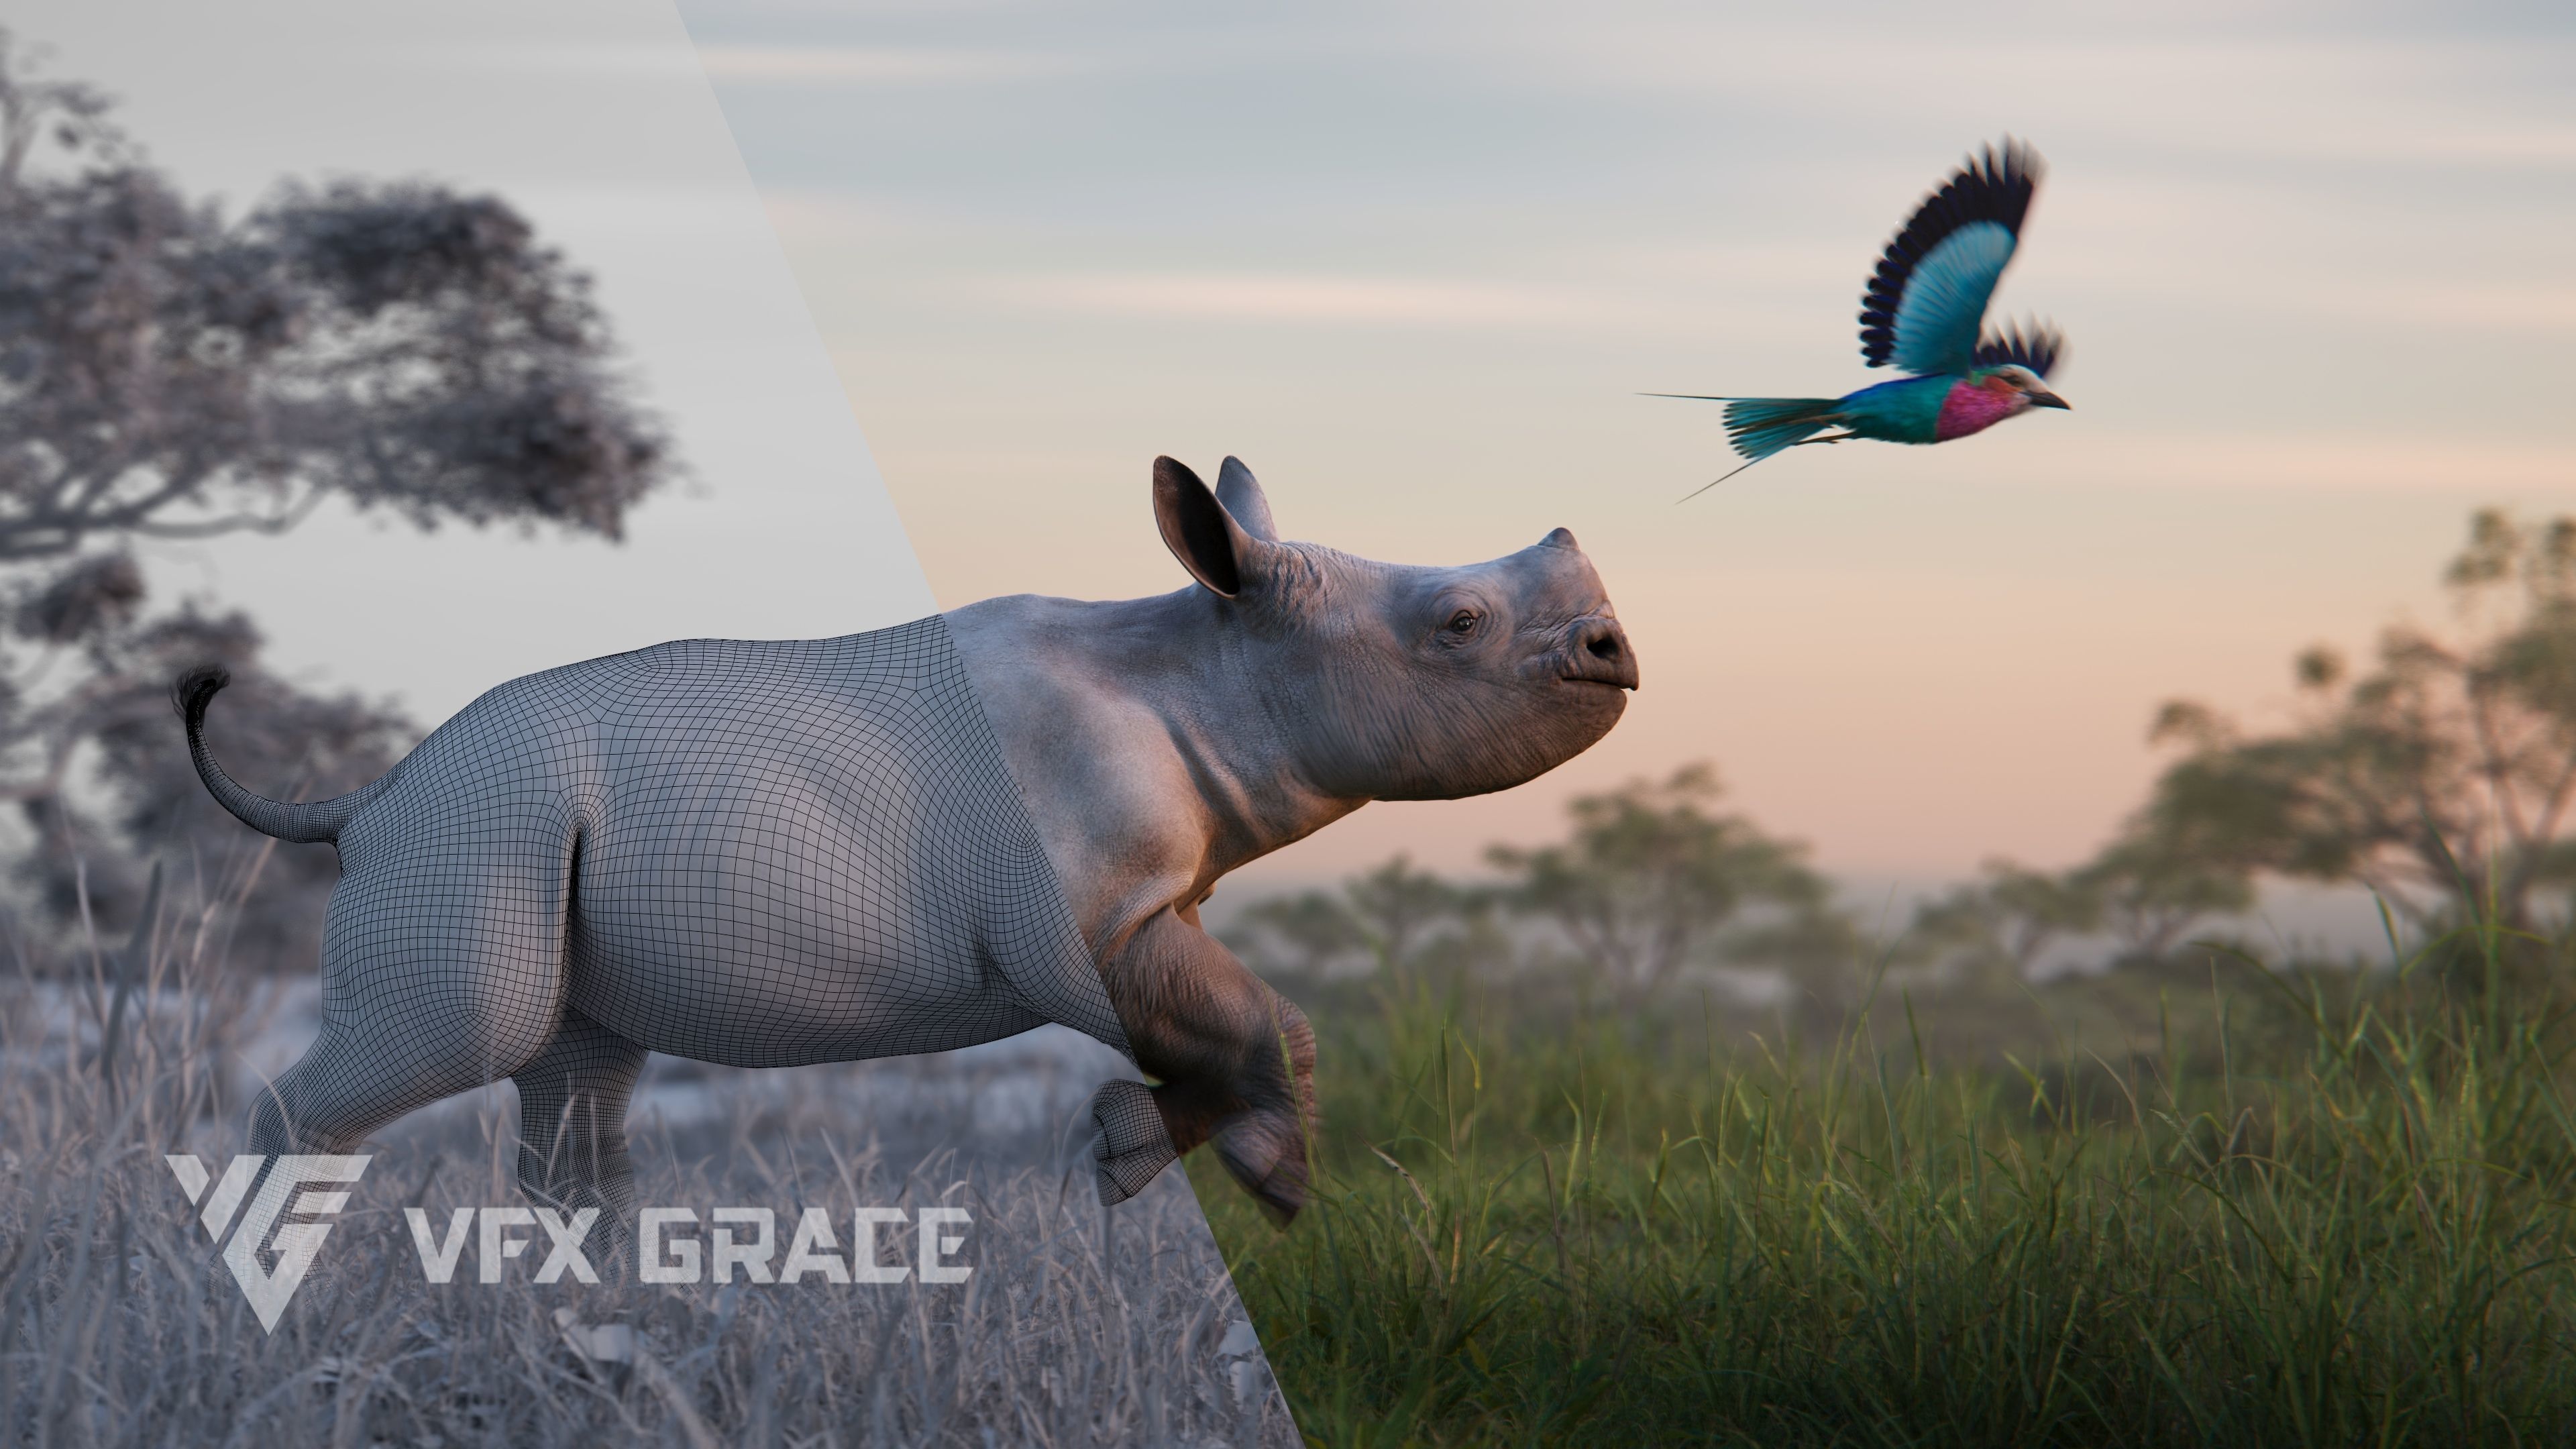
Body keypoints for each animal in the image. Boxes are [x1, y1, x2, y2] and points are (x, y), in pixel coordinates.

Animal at [182, 457, 1636, 1225]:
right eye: (1458, 625)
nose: (1616, 657)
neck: (1204, 659)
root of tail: (366, 799)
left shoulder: (1157, 901)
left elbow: (1234, 1025)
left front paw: (1127, 1158)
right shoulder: (1085, 921)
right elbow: (1254, 1022)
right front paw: (1268, 1187)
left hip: (515, 832)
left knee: (577, 1070)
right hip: (469, 834)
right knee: (458, 1044)